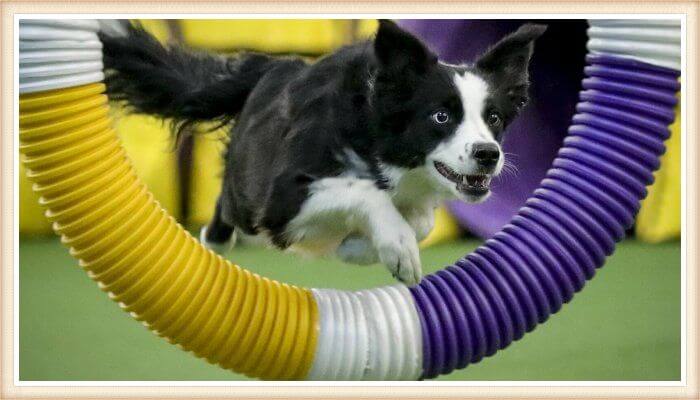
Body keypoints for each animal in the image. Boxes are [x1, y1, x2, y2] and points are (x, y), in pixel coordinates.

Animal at [98, 20, 548, 286]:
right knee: (227, 206)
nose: (488, 154)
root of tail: (270, 67)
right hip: (248, 192)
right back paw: (213, 241)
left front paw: (361, 246)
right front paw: (398, 249)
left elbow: (419, 220)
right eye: (441, 116)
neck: (375, 133)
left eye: (494, 117)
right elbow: (365, 191)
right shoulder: (283, 197)